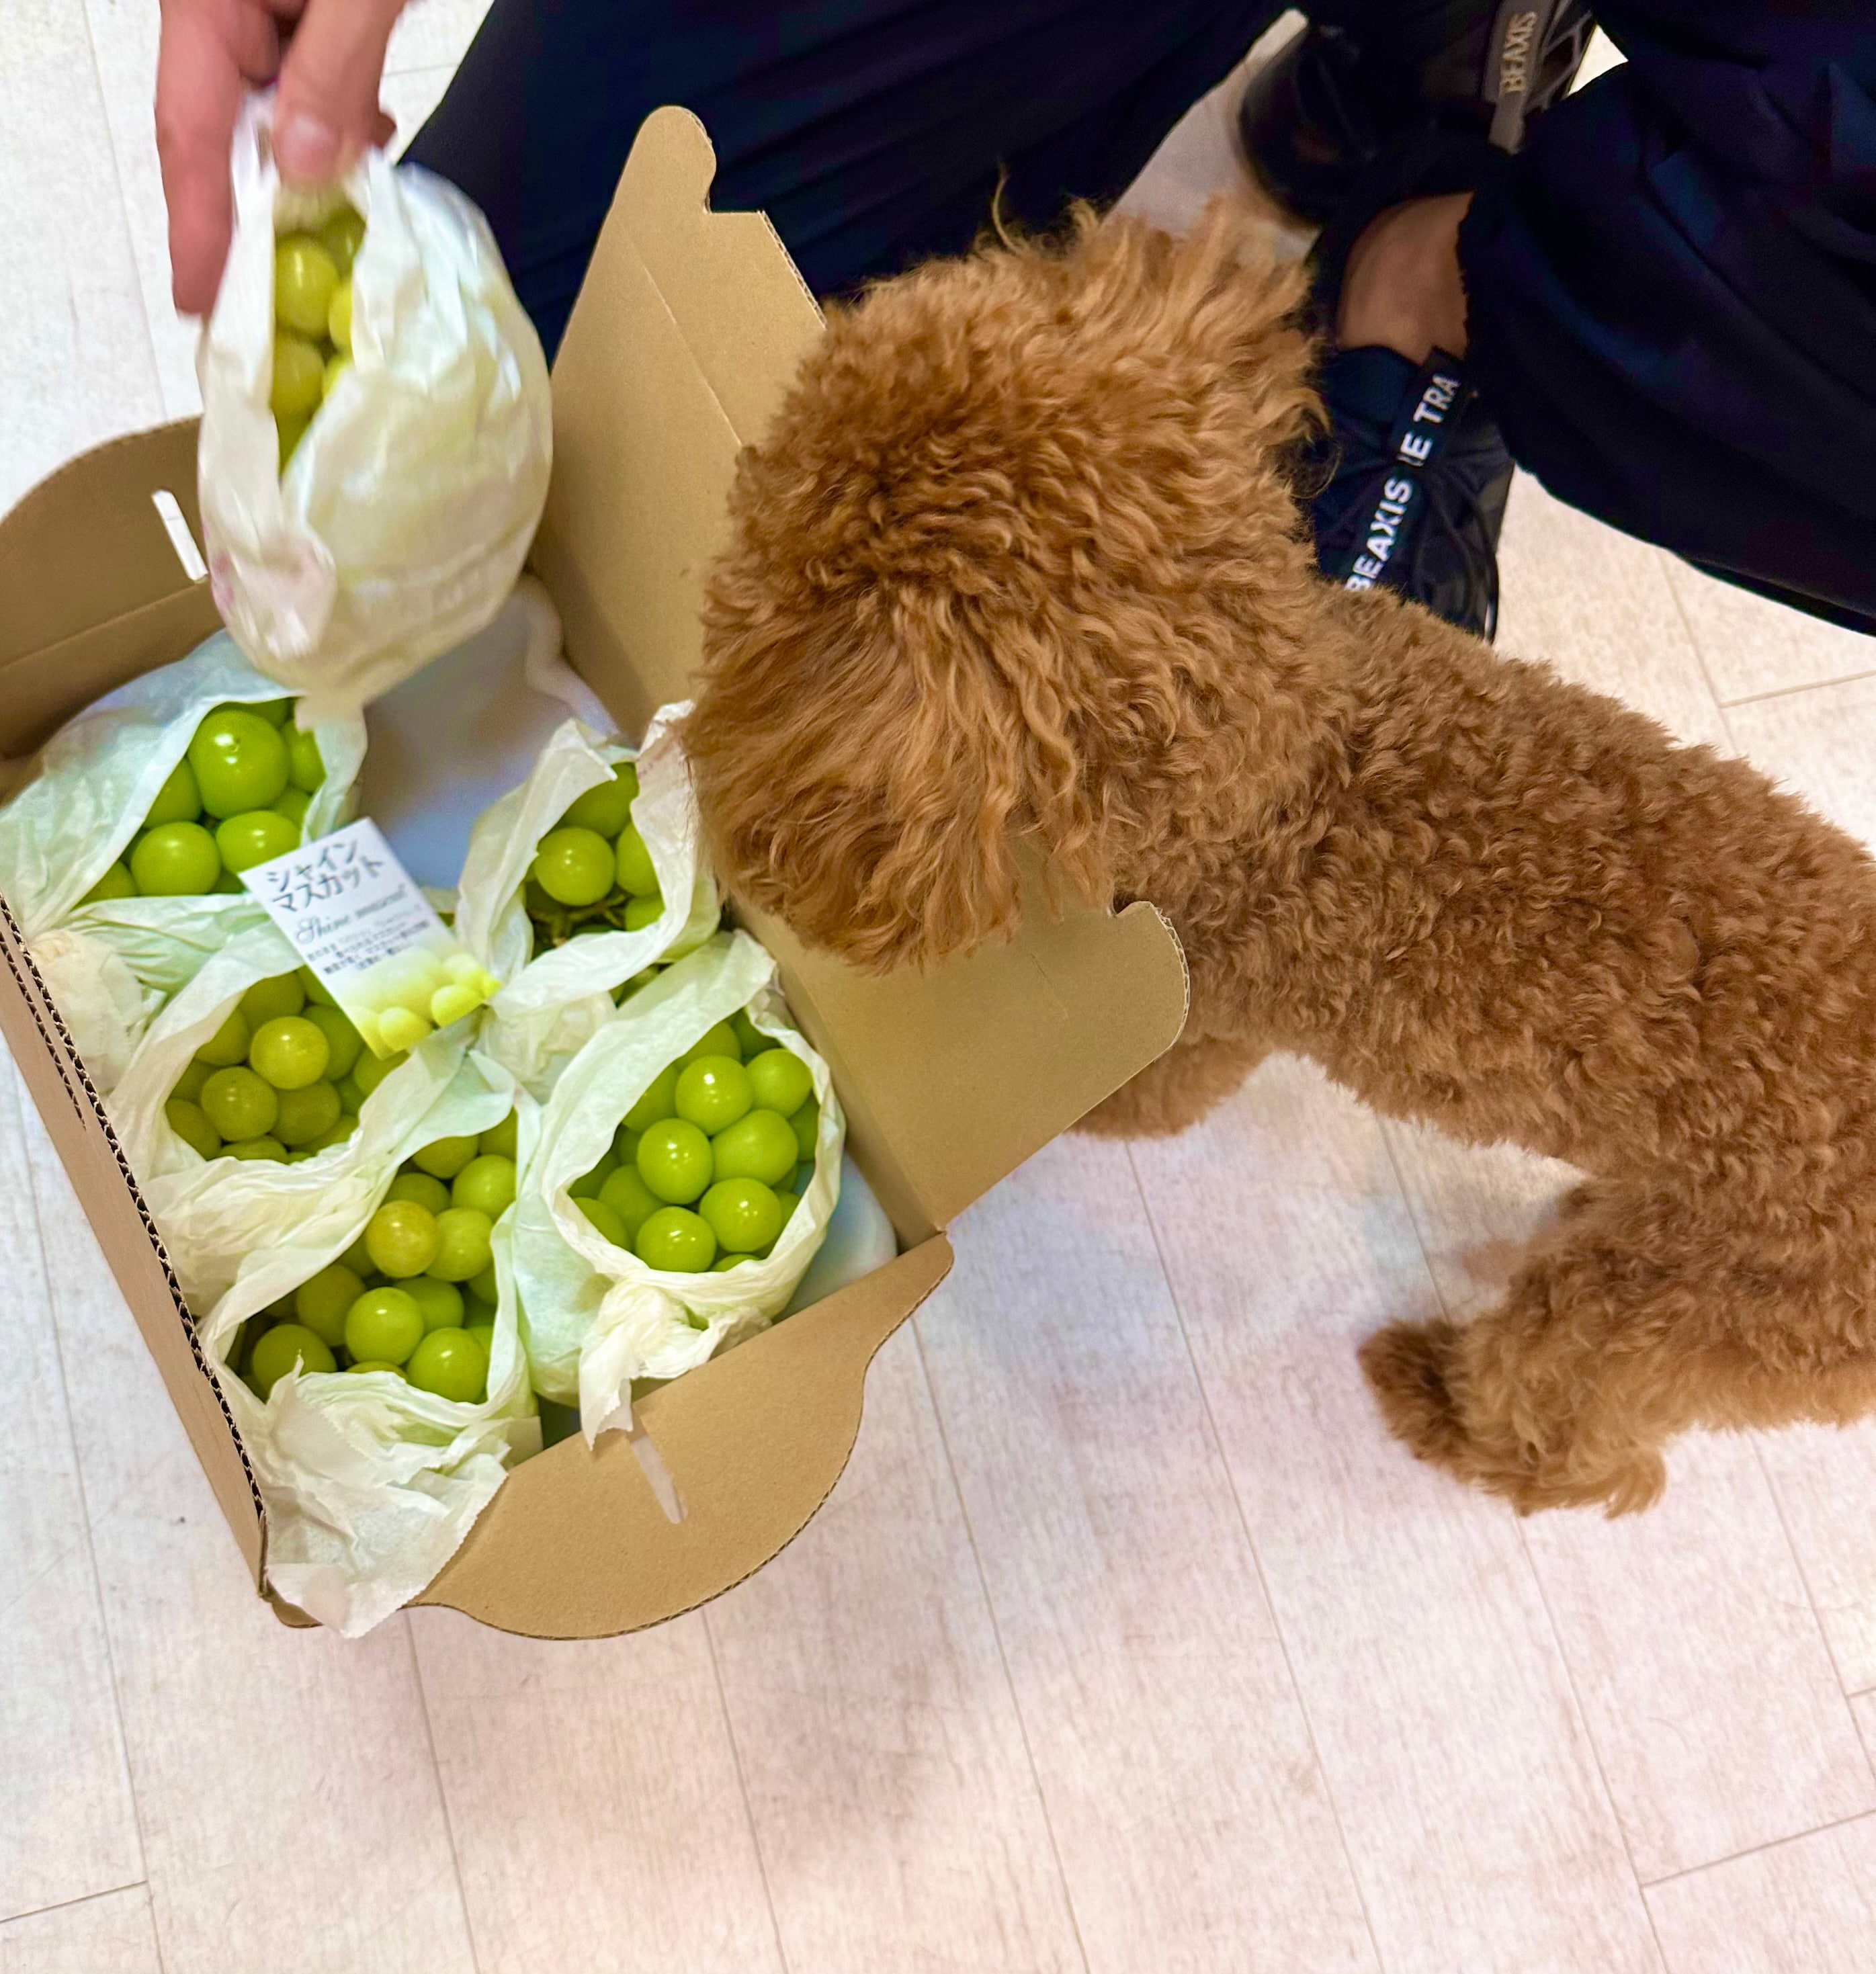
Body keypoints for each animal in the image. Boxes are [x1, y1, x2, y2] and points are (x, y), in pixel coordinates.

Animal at [681, 204, 1876, 1516]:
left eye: (797, 504)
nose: (743, 460)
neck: (1288, 759)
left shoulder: (1206, 1022)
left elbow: (1151, 1100)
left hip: (1702, 1311)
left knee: (1577, 1429)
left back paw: (1437, 1402)